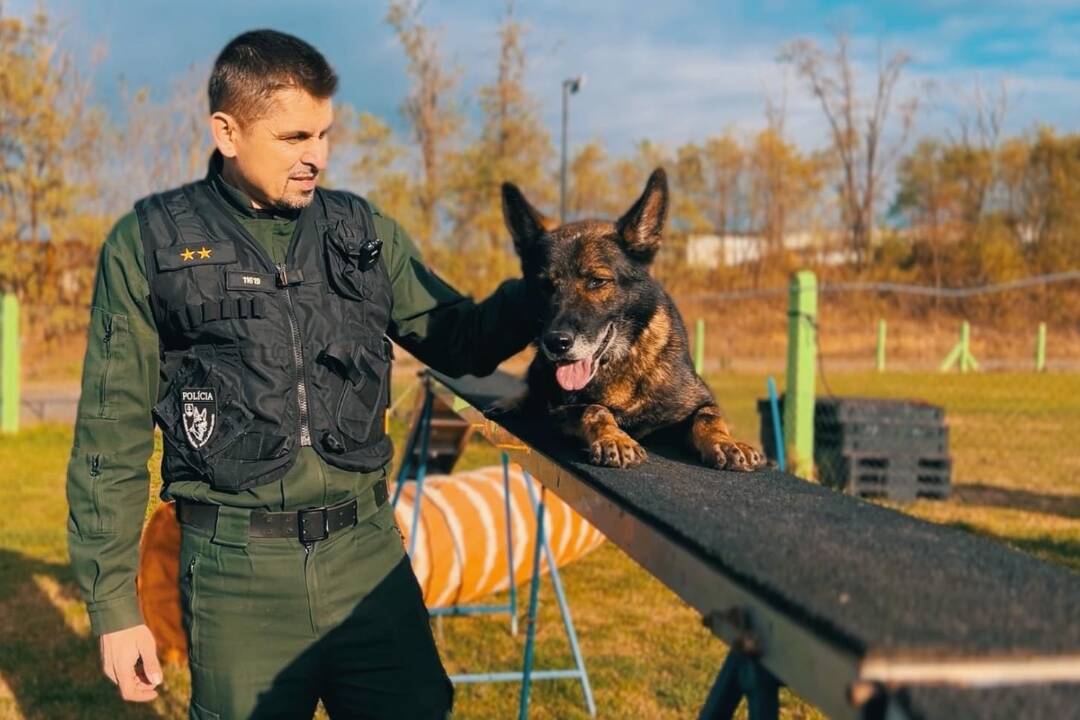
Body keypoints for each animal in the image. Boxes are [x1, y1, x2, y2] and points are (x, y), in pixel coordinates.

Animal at [498, 169, 764, 472]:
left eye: (597, 281)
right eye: (545, 286)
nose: (555, 343)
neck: (620, 361)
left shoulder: (697, 401)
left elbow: (708, 416)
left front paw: (727, 442)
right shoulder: (558, 412)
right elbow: (595, 409)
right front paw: (615, 438)